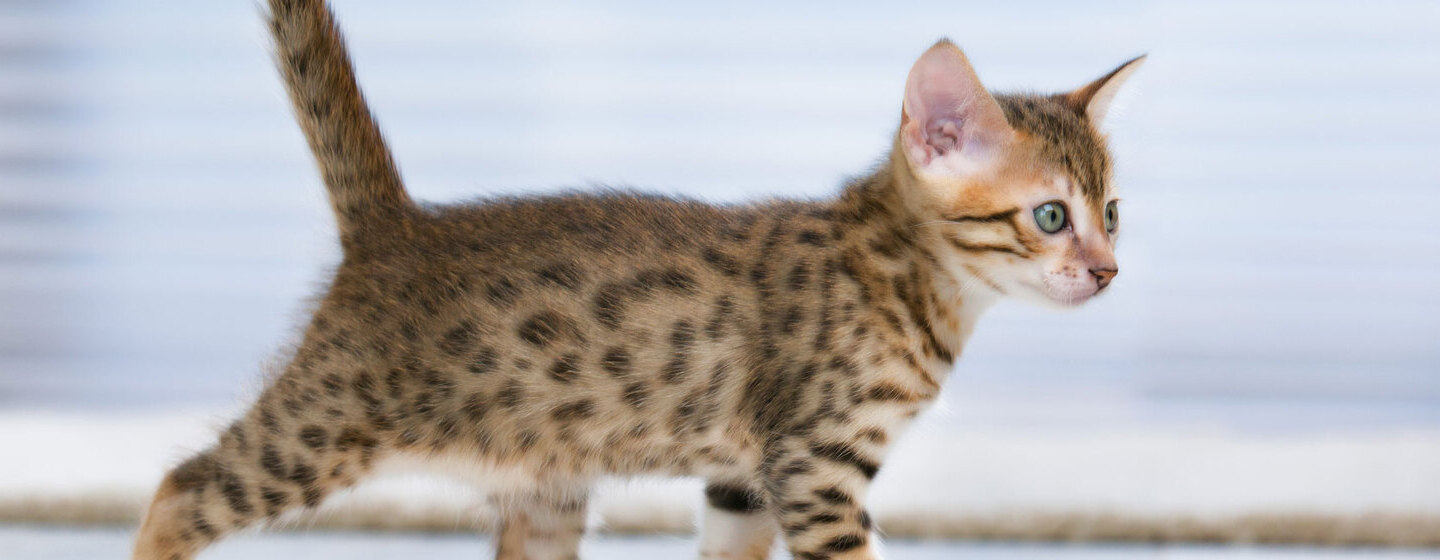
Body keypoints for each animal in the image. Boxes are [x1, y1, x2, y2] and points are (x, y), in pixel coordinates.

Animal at [137, 1, 1146, 558]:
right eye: (1050, 216)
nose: (1107, 271)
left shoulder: (746, 481)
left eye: (1113, 211)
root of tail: (395, 225)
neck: (907, 281)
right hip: (323, 427)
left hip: (543, 493)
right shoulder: (815, 463)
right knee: (179, 491)